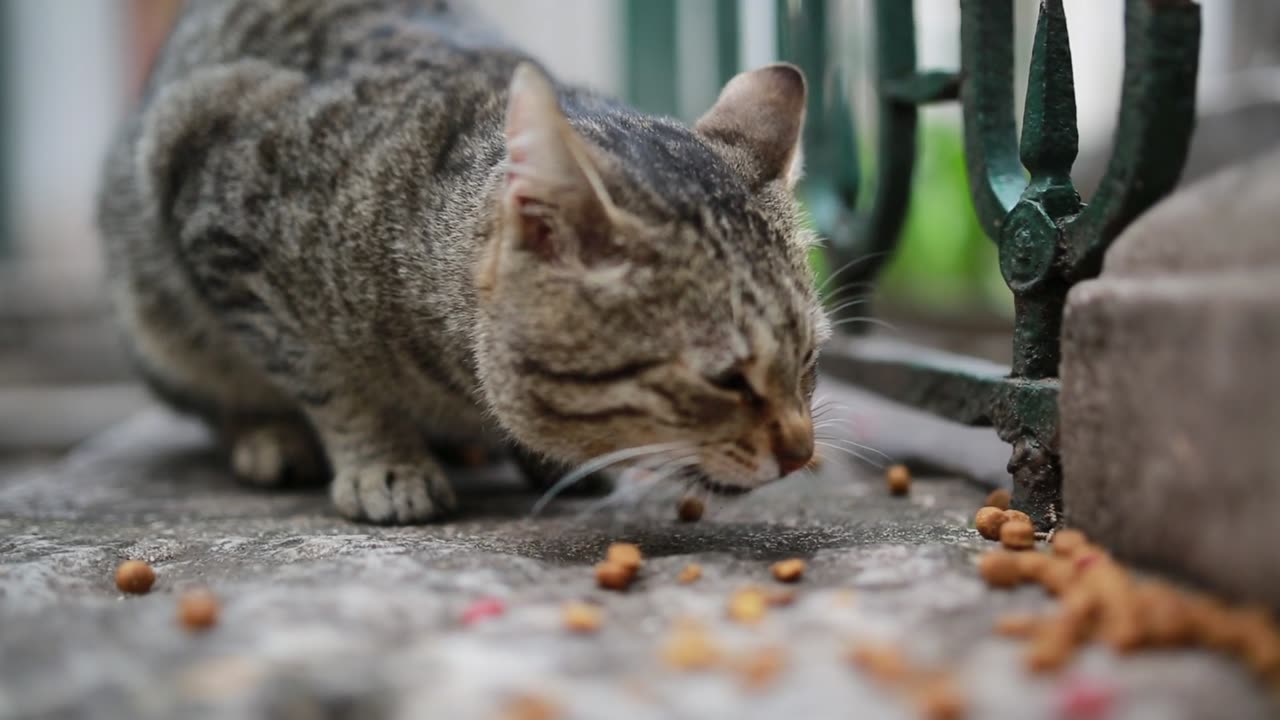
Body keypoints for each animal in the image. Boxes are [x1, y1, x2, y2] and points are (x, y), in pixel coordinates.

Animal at [94, 1, 824, 527]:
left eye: (810, 359)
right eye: (726, 378)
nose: (802, 452)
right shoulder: (212, 200)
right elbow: (331, 382)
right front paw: (386, 464)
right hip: (153, 315)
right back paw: (270, 436)